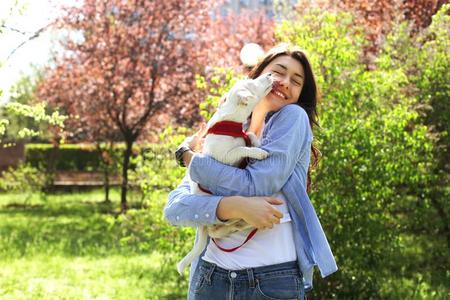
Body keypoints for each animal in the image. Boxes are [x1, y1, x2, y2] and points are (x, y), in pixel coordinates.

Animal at [177, 73, 274, 274]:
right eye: (253, 83)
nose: (269, 74)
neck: (230, 123)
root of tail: (202, 226)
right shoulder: (227, 156)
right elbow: (242, 148)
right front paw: (259, 152)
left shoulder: (243, 136)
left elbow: (249, 136)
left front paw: (257, 142)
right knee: (219, 228)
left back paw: (241, 224)